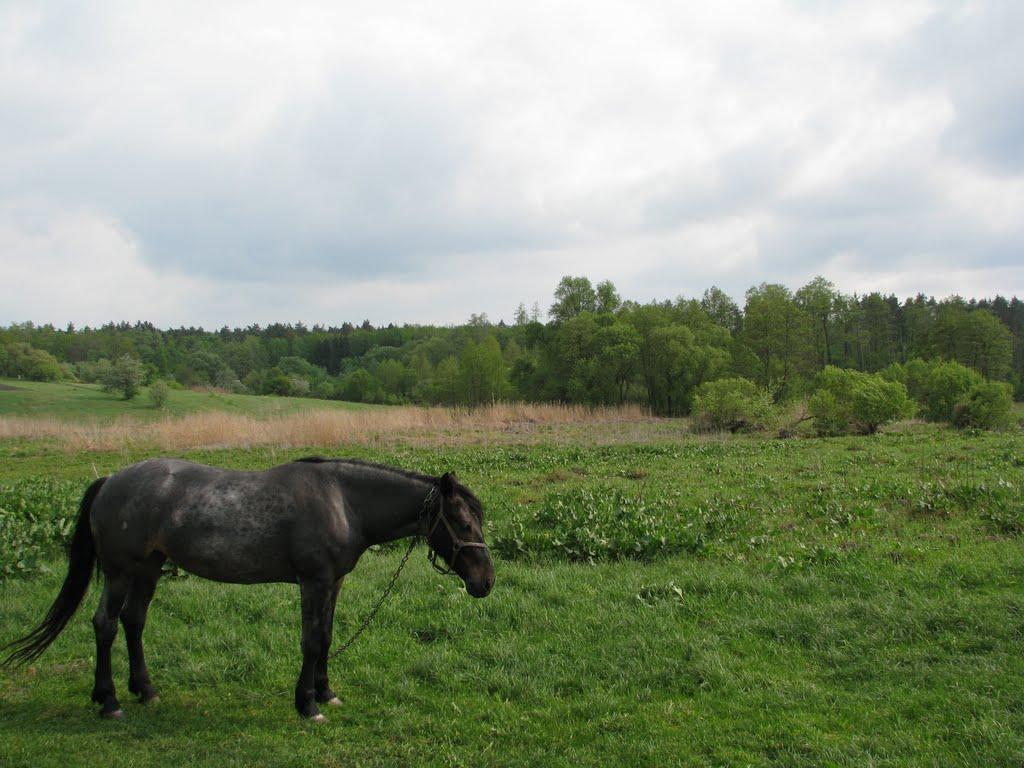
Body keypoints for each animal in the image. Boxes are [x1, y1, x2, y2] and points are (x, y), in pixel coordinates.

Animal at [0, 460, 495, 724]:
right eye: (462, 522)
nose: (486, 581)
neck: (343, 501)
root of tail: (111, 481)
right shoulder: (313, 582)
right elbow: (311, 642)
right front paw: (307, 704)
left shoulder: (332, 582)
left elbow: (326, 639)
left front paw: (325, 692)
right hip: (121, 571)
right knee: (105, 625)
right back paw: (109, 701)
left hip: (149, 568)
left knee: (133, 622)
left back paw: (146, 690)